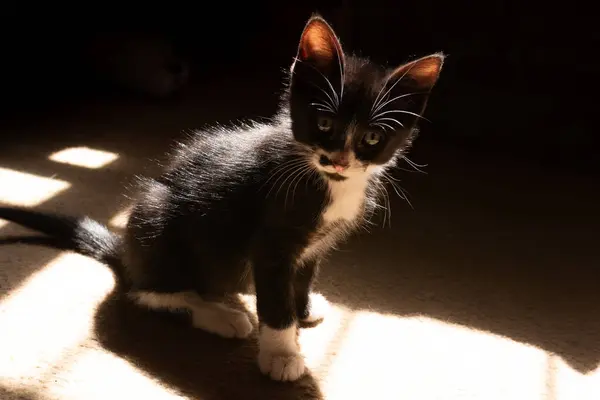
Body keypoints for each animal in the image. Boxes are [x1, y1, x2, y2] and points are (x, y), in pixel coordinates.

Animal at [0, 14, 440, 382]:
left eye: (372, 137)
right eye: (325, 122)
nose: (339, 160)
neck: (324, 180)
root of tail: (126, 254)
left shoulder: (315, 244)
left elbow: (302, 275)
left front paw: (302, 308)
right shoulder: (271, 240)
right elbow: (274, 303)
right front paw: (281, 354)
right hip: (156, 218)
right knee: (149, 292)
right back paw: (220, 315)